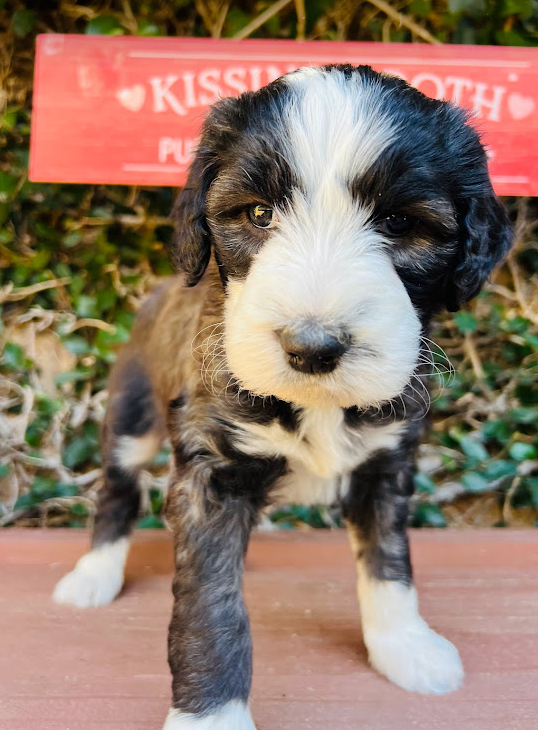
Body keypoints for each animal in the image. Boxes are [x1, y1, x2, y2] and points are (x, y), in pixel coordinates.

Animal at [53, 65, 510, 724]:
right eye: (259, 213)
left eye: (400, 224)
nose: (312, 348)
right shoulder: (211, 476)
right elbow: (211, 603)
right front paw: (210, 715)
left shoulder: (385, 463)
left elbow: (389, 561)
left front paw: (404, 647)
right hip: (131, 413)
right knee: (117, 490)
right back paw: (93, 575)